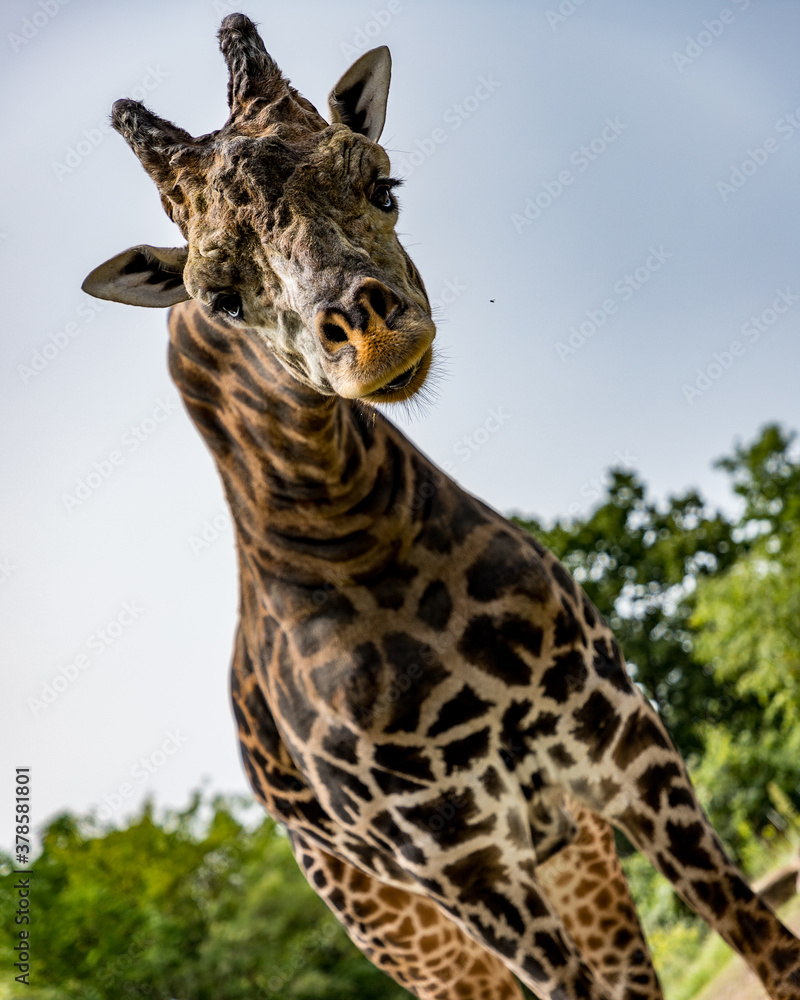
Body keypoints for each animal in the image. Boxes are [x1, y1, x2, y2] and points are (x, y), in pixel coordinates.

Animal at [81, 15, 800, 1000]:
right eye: (221, 298)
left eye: (382, 184)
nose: (371, 336)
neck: (357, 530)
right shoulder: (460, 863)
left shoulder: (622, 743)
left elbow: (769, 944)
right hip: (407, 932)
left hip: (577, 859)